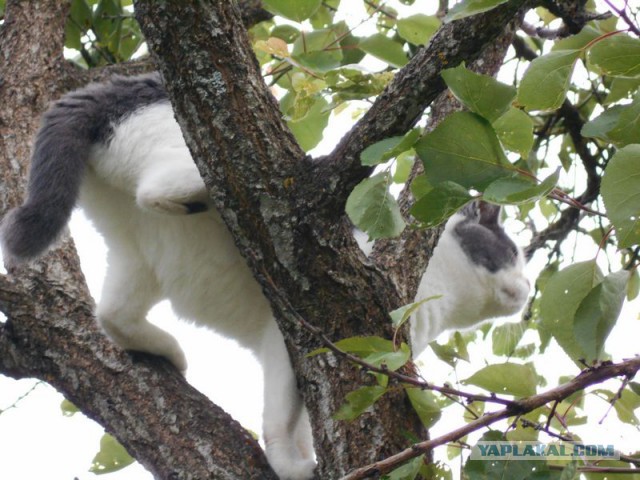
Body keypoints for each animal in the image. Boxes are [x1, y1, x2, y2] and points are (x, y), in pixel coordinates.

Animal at [0, 73, 528, 478]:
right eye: (514, 253)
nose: (528, 288)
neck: (438, 294)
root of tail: (110, 85)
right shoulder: (292, 334)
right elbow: (278, 419)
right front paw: (293, 466)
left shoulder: (282, 346)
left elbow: (297, 421)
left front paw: (299, 456)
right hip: (189, 150)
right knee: (169, 185)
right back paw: (278, 177)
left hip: (135, 257)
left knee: (112, 314)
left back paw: (168, 350)